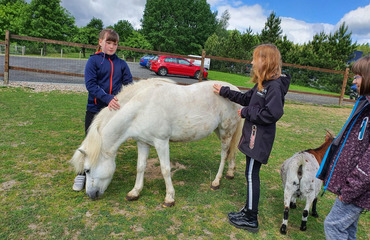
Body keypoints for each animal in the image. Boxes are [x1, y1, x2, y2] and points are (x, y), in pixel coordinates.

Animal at [70, 78, 243, 206]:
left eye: (87, 170)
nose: (91, 195)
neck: (142, 109)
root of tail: (236, 90)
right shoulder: (142, 142)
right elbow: (140, 167)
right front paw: (135, 192)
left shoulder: (161, 142)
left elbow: (165, 169)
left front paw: (169, 198)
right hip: (220, 131)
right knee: (231, 152)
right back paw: (230, 173)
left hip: (226, 131)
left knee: (224, 154)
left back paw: (216, 182)